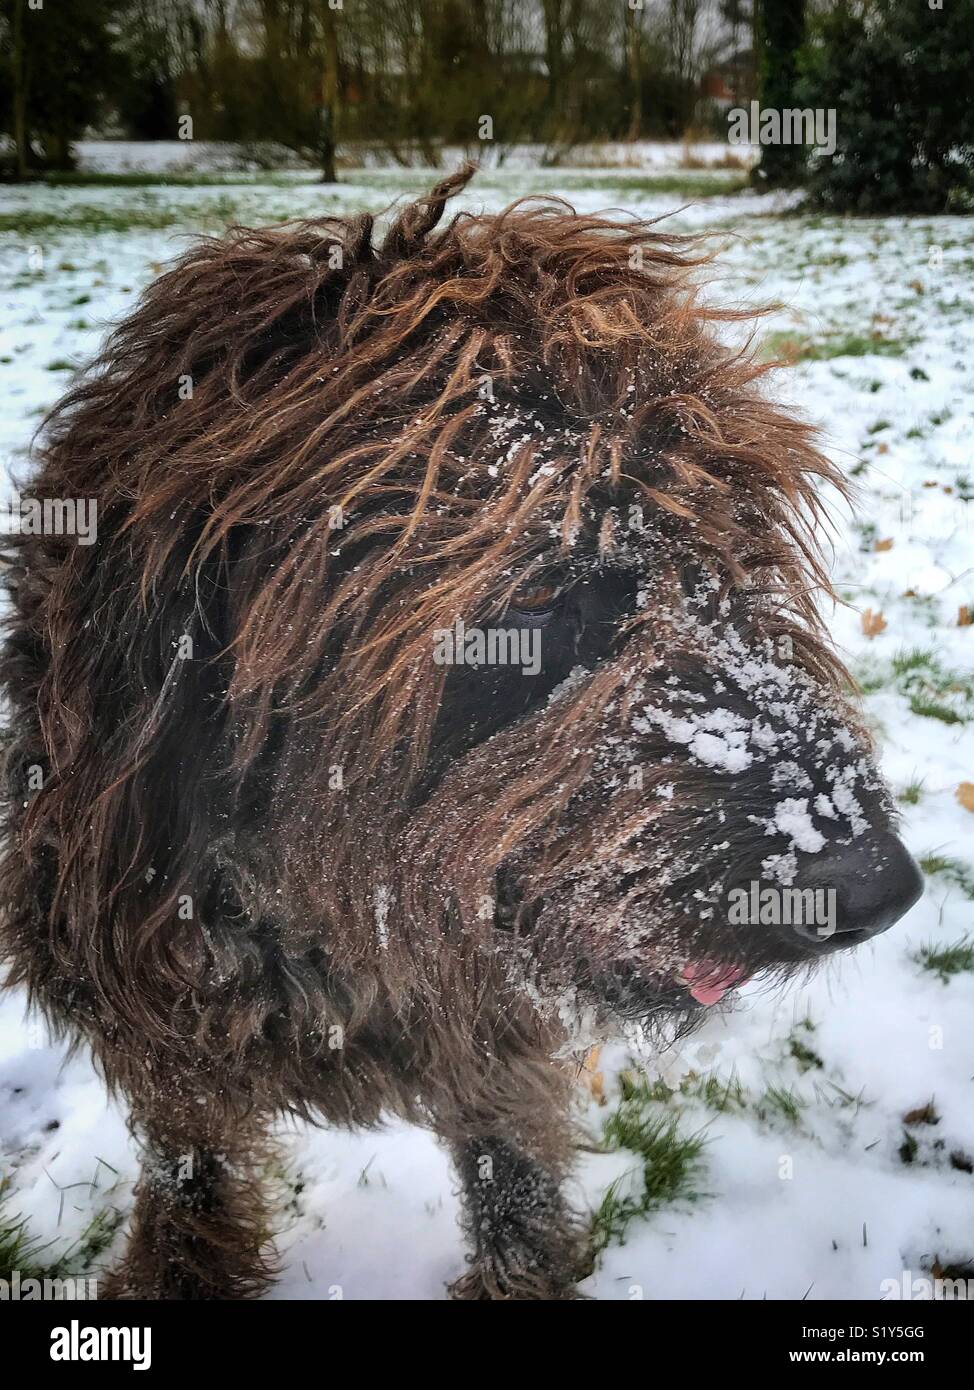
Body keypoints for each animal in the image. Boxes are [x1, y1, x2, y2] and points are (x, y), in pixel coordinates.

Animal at [0, 165, 917, 1301]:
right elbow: (191, 1155)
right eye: (540, 598)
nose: (878, 887)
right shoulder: (158, 1024)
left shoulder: (490, 1040)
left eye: (738, 554)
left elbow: (509, 1169)